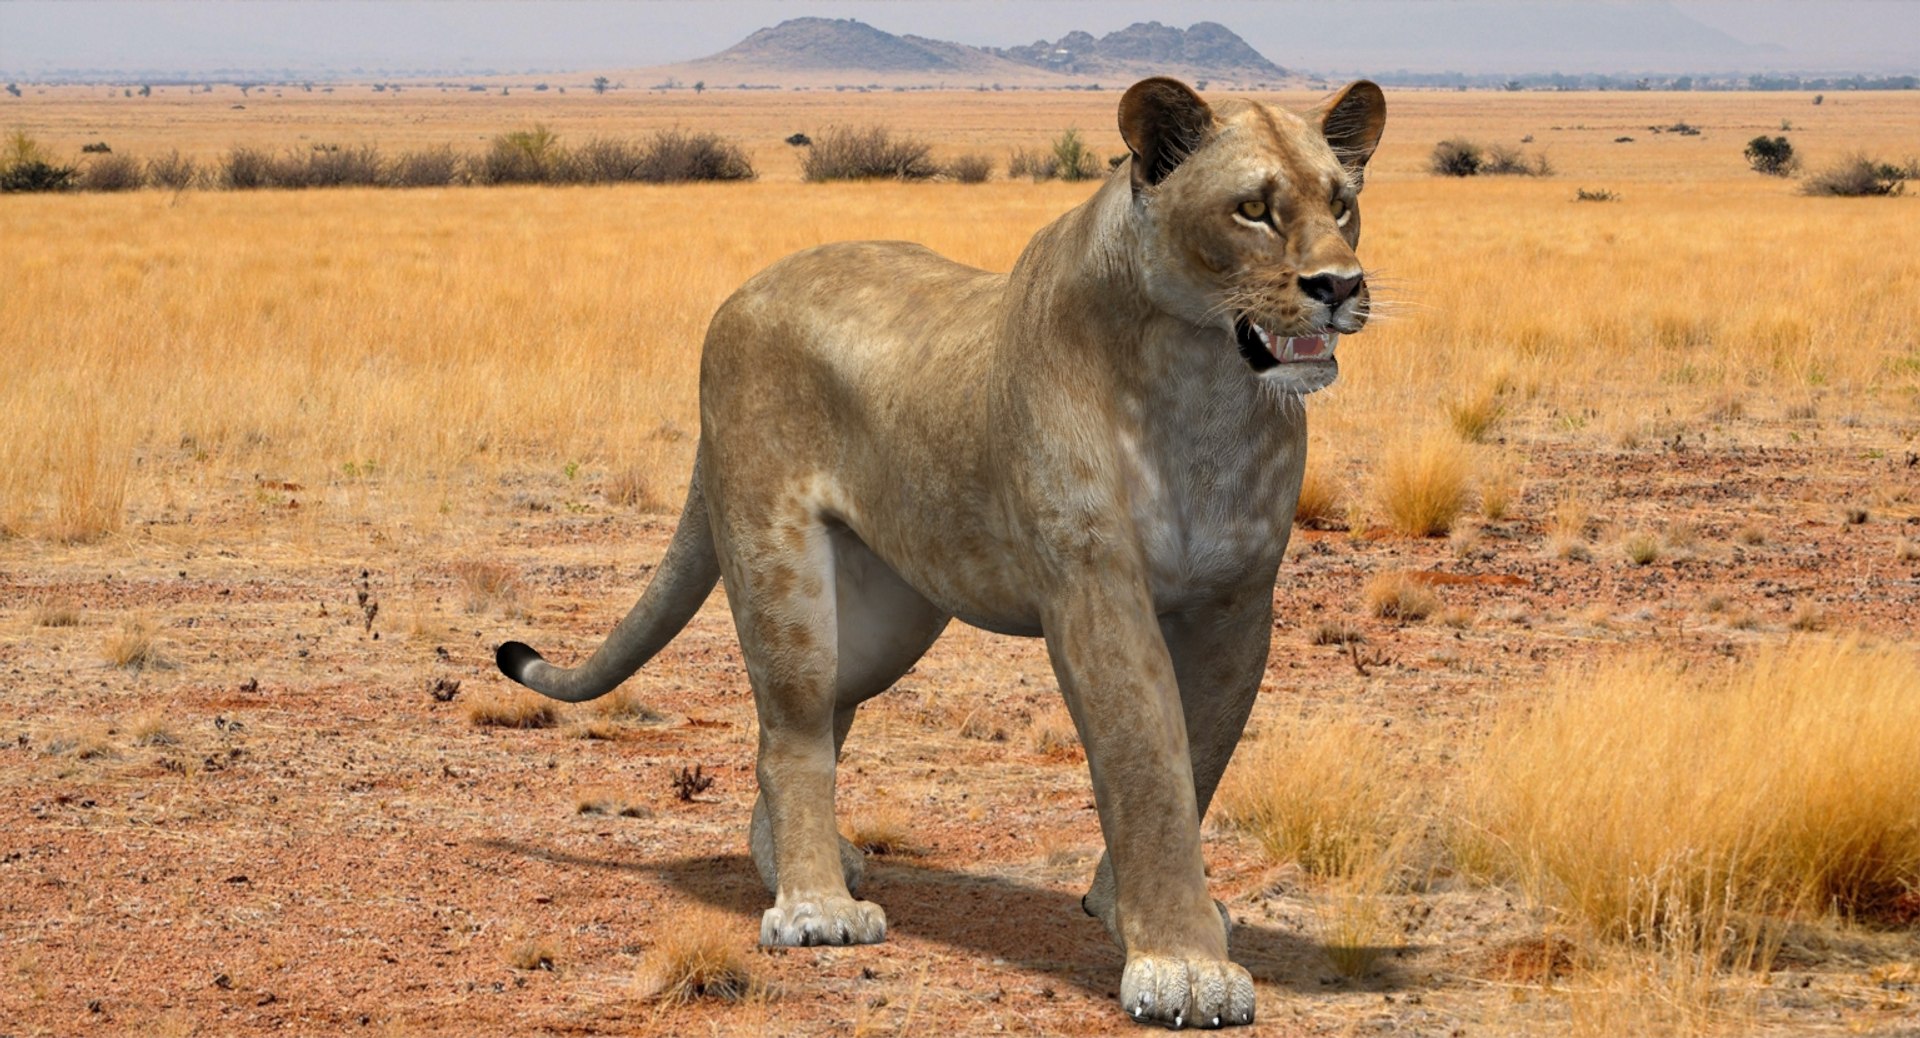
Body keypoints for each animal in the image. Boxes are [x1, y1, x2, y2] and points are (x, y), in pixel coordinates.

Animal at [497, 76, 1386, 1029]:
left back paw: (795, 865)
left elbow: (1199, 758)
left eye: (1343, 202)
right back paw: (816, 908)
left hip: (884, 623)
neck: (1208, 390)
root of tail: (743, 293)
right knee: (791, 730)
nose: (1340, 285)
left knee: (810, 722)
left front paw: (1126, 914)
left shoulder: (1238, 602)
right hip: (783, 575)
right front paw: (1185, 967)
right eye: (1253, 209)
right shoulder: (1095, 587)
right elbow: (1148, 764)